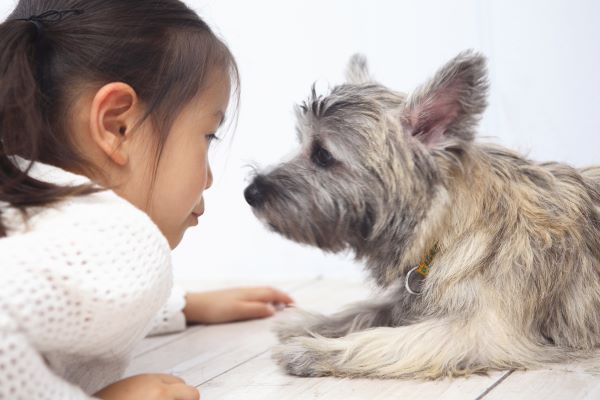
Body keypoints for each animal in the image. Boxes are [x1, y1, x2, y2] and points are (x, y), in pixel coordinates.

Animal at [243, 50, 600, 378]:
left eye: (322, 155)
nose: (250, 193)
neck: (447, 229)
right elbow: (366, 309)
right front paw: (314, 322)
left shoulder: (480, 331)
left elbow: (387, 340)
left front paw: (314, 349)